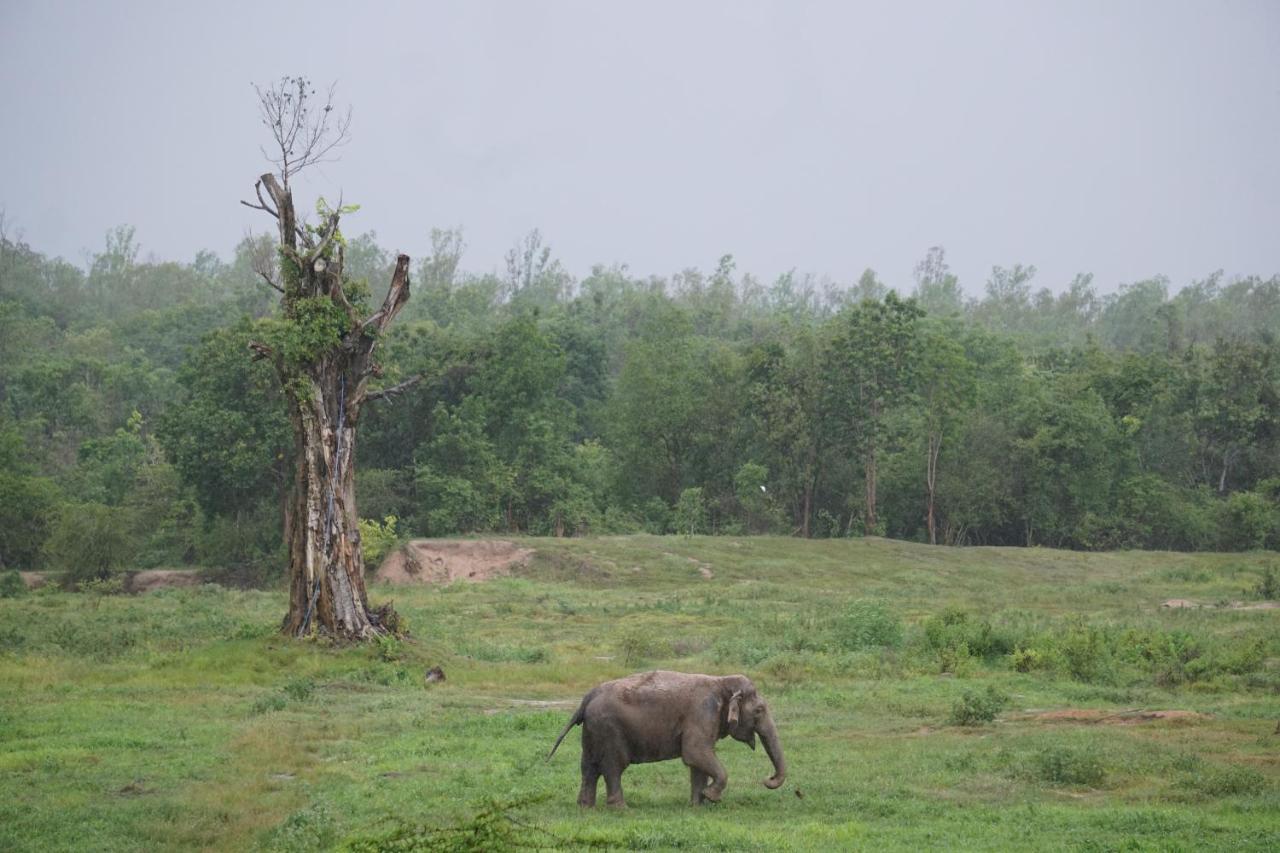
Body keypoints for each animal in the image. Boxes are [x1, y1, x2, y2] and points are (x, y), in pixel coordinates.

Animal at [545, 671, 783, 804]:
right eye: (759, 710)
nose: (768, 778)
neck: (722, 681)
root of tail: (588, 696)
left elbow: (698, 761)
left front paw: (699, 804)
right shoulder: (701, 712)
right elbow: (695, 753)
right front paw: (711, 797)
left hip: (592, 730)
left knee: (589, 767)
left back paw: (585, 807)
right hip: (609, 729)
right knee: (613, 767)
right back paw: (621, 809)